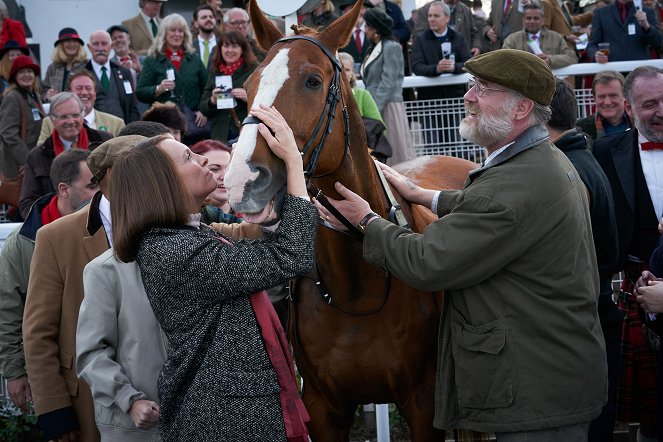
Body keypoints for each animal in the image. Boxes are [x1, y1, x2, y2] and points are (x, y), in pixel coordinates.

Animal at [226, 1, 480, 440]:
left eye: (312, 80)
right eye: (251, 83)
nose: (243, 179)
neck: (357, 285)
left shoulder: (423, 403)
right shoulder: (322, 408)